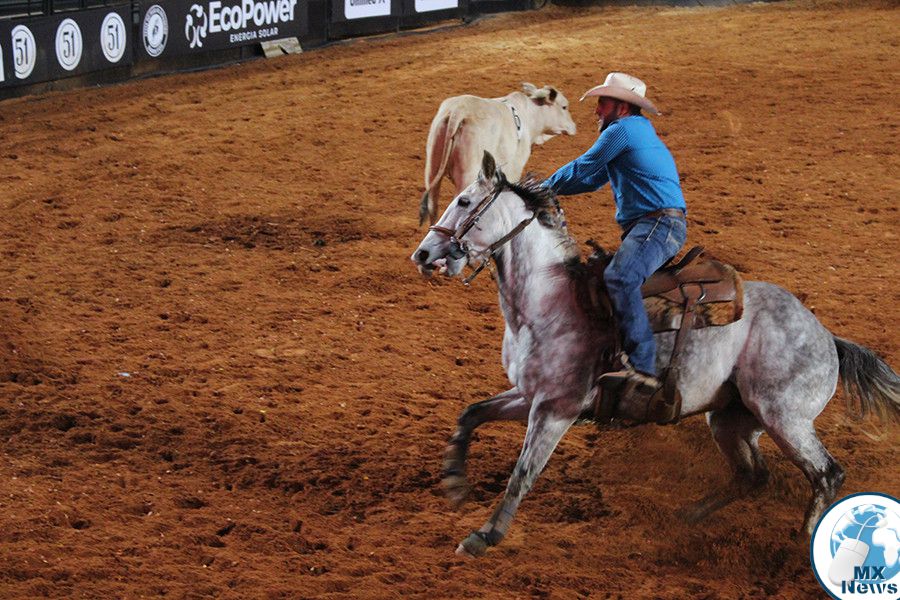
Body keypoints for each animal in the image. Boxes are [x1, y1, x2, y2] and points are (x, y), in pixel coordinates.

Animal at [410, 151, 900, 558]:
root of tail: (827, 337)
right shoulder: (529, 395)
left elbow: (523, 473)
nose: (424, 253)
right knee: (753, 475)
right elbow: (472, 413)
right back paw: (689, 517)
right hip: (730, 419)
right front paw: (454, 481)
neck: (547, 302)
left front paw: (485, 534)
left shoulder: (556, 408)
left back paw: (802, 545)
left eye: (464, 201)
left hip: (786, 417)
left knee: (826, 475)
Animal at [419, 83, 577, 225]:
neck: (530, 116)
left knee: (433, 207)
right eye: (564, 107)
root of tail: (458, 111)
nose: (574, 127)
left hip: (432, 169)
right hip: (467, 176)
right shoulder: (514, 169)